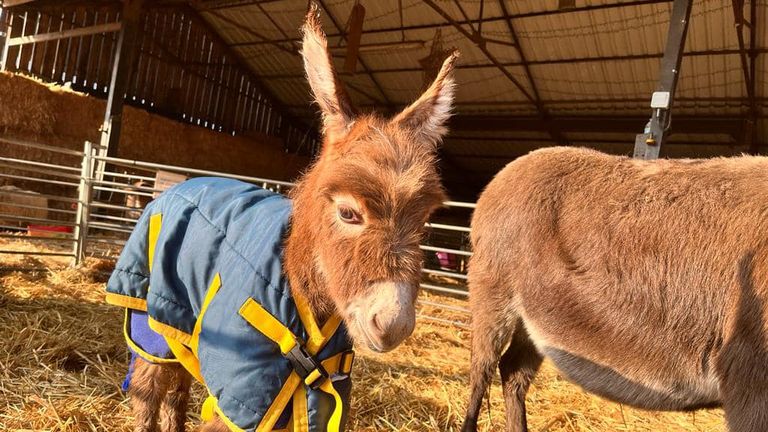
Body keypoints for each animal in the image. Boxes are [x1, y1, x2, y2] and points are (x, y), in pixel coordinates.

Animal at [120, 6, 456, 432]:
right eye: (348, 212)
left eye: (425, 222)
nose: (393, 324)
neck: (295, 287)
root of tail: (185, 183)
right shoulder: (243, 388)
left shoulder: (314, 392)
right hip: (150, 319)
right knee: (148, 389)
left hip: (182, 327)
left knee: (177, 389)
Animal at [462, 146, 768, 432]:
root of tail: (509, 171)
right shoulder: (749, 379)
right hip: (492, 294)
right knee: (481, 370)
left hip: (533, 323)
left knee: (513, 371)